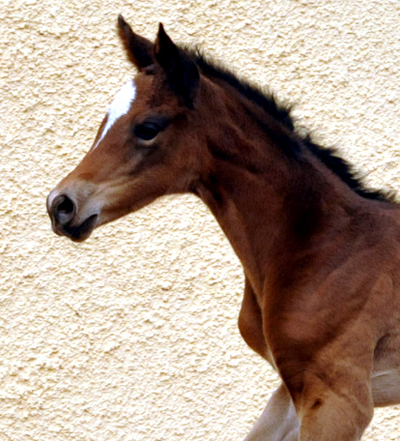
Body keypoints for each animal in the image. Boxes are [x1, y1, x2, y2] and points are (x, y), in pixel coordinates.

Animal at [47, 15, 400, 438]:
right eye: (104, 122)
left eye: (148, 127)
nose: (61, 205)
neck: (323, 243)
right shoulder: (291, 393)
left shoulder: (339, 398)